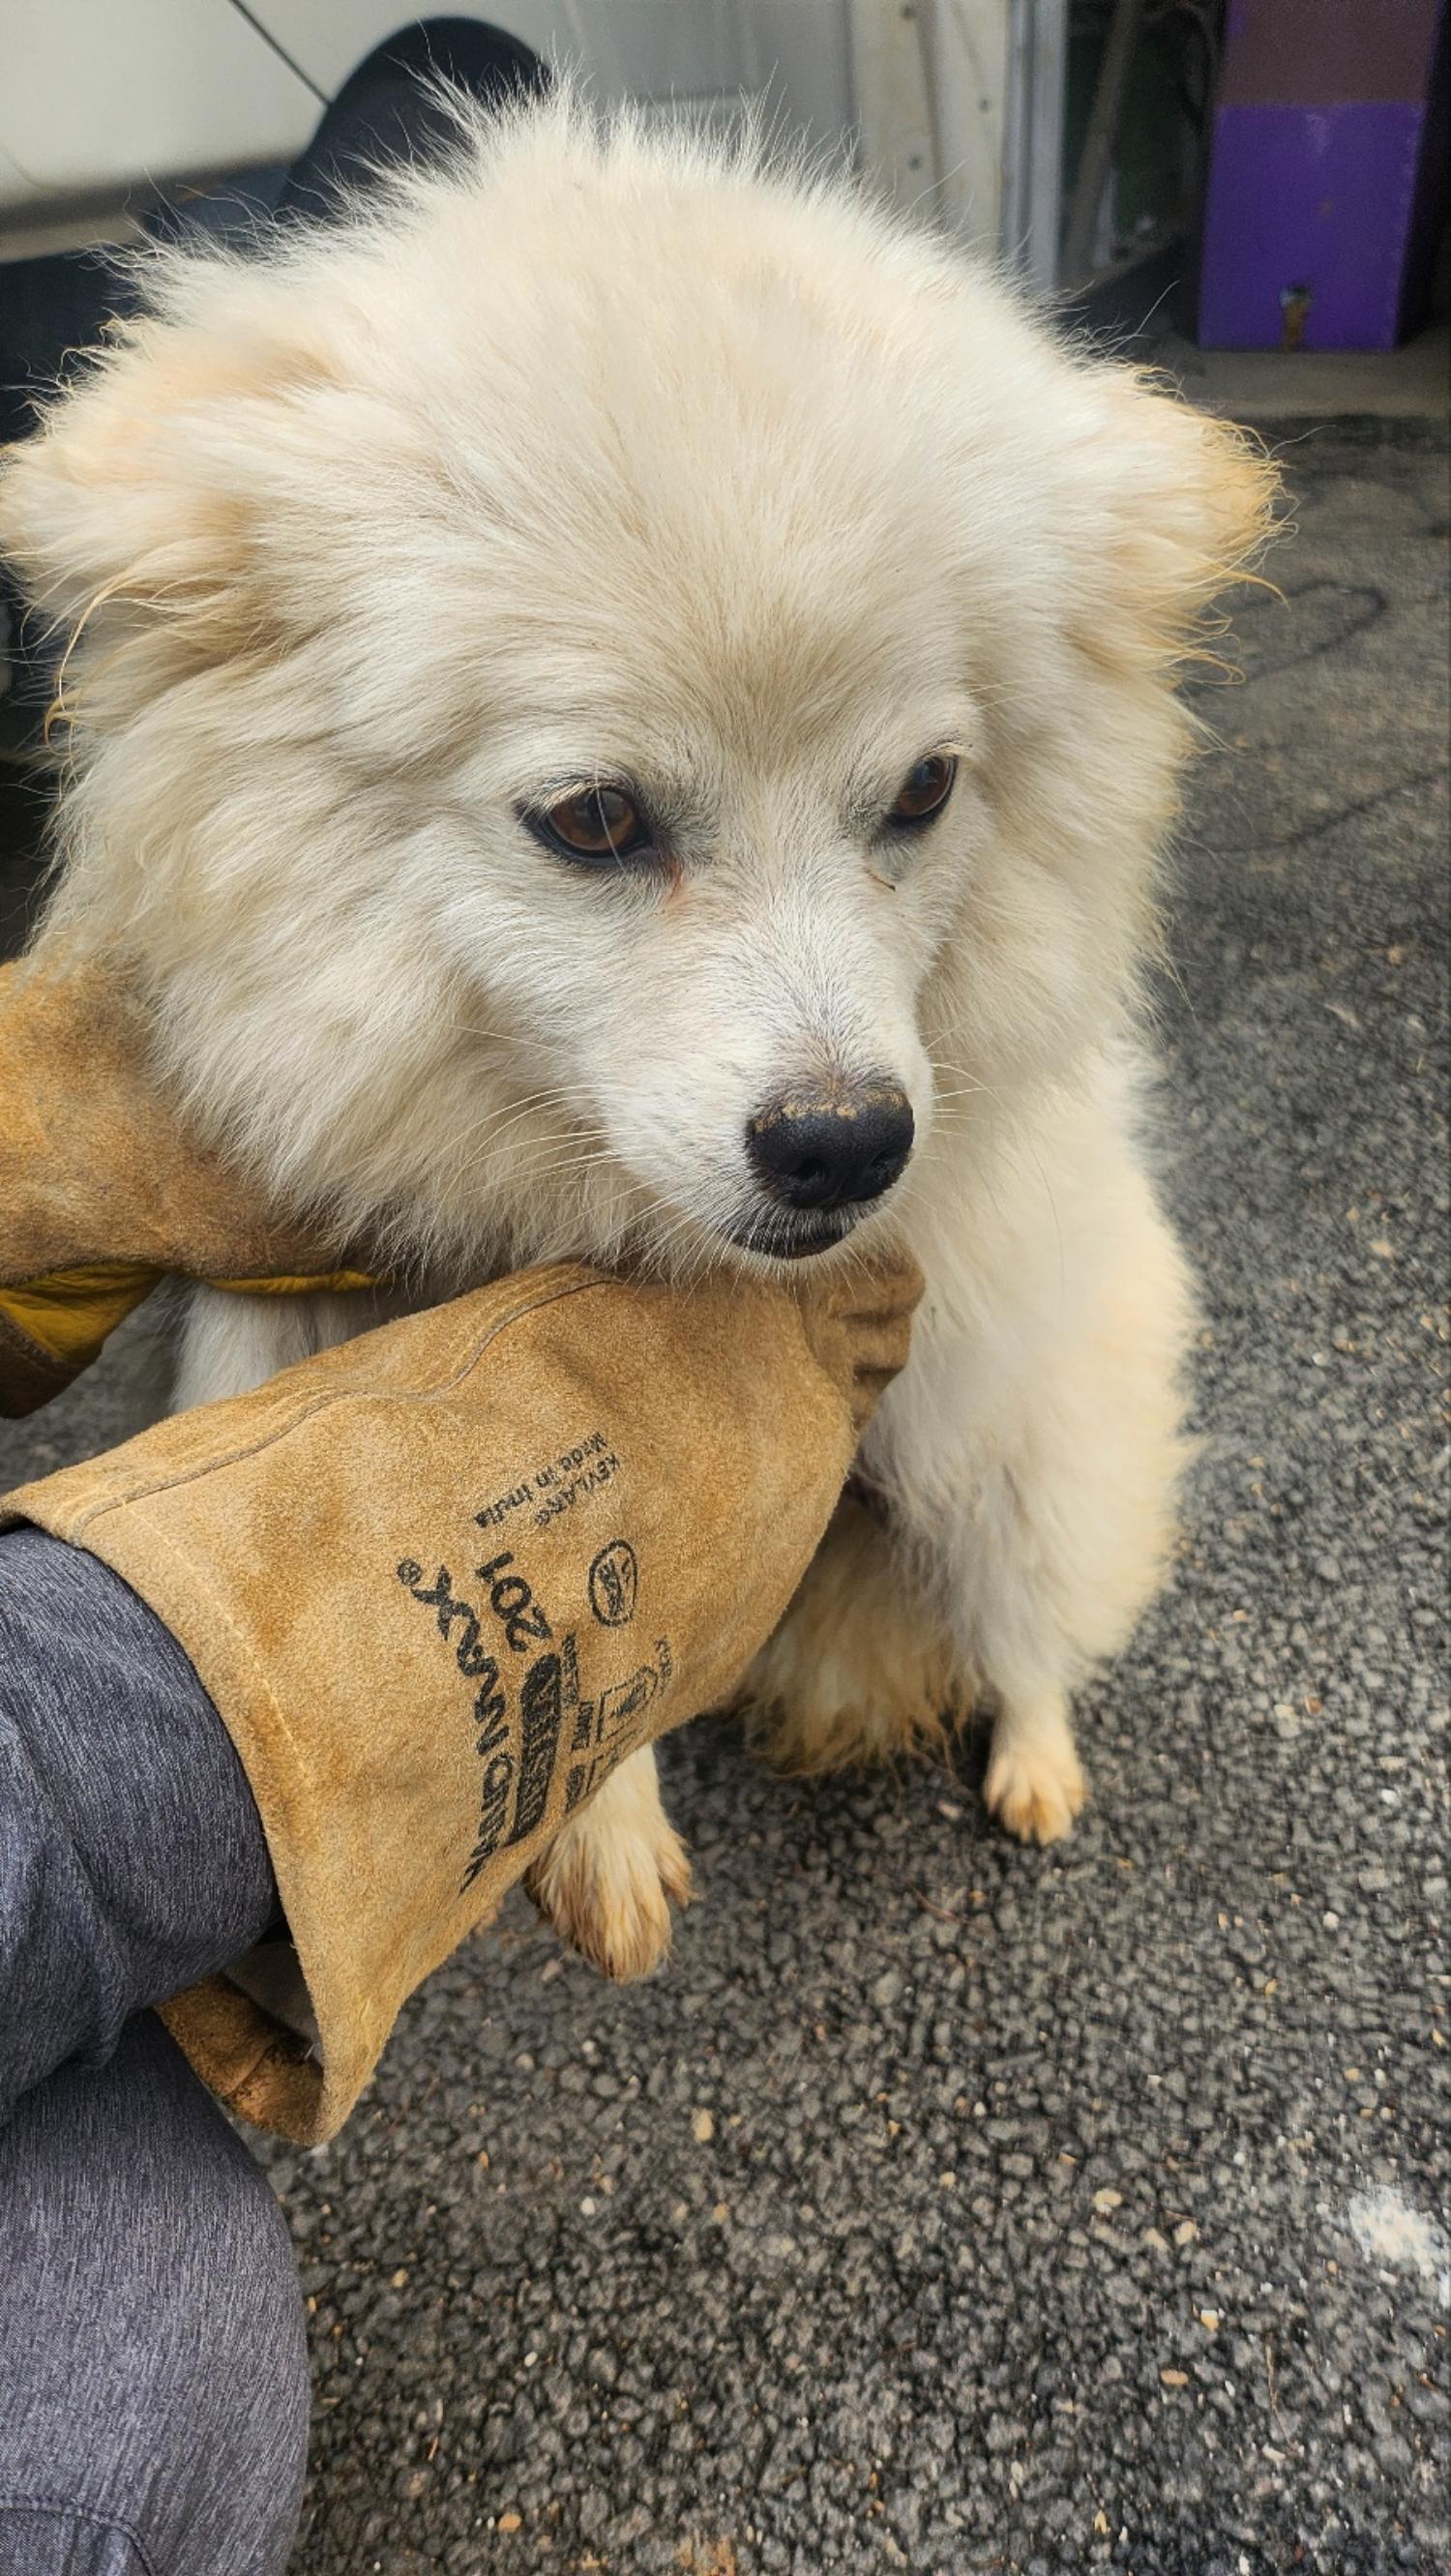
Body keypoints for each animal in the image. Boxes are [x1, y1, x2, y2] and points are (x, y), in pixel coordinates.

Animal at [0, 80, 1273, 1968]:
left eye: (923, 789)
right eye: (595, 818)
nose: (848, 1146)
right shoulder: (290, 1290)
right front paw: (603, 1829)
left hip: (1003, 1461)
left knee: (1031, 1627)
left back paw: (1035, 1765)